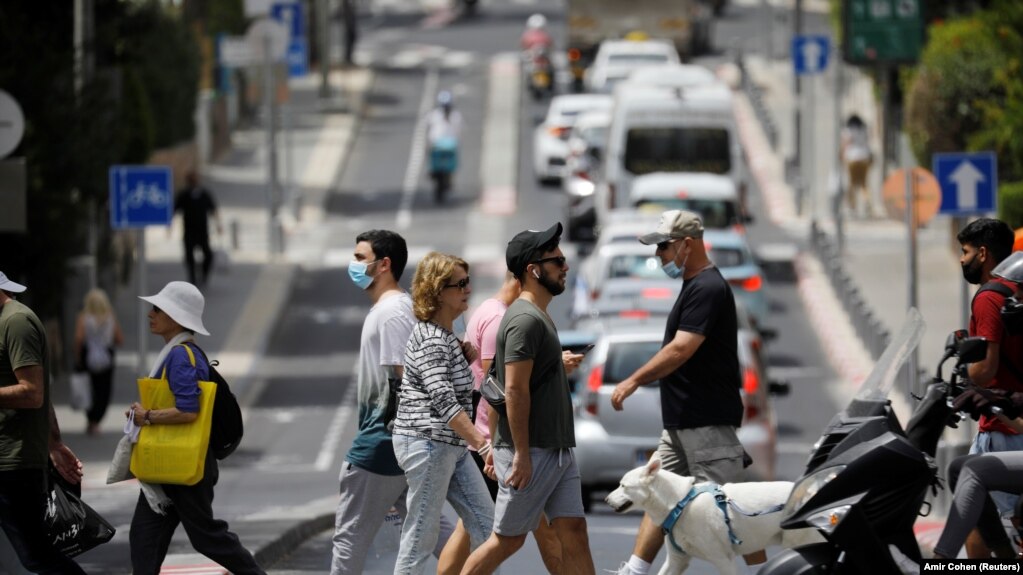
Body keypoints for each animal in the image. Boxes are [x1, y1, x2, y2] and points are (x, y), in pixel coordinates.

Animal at [601, 454, 818, 568]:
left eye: (623, 486)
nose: (605, 499)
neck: (680, 503)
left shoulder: (724, 560)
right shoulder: (676, 560)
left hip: (799, 543)